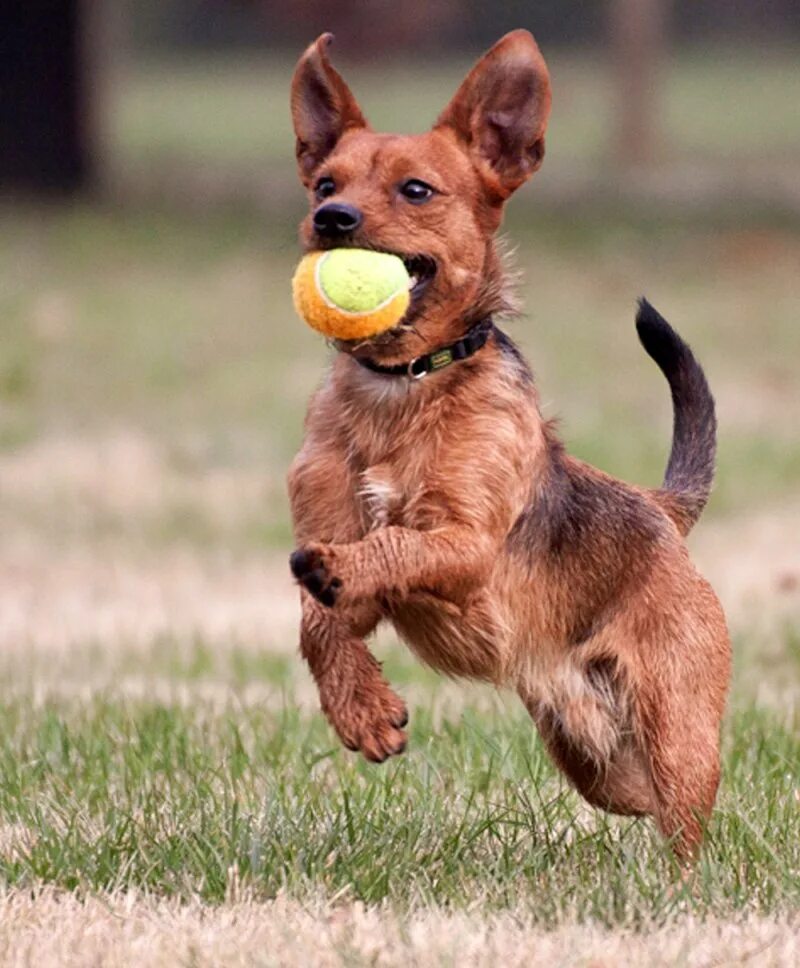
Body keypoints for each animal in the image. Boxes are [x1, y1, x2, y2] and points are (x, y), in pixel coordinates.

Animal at [288, 28, 732, 856]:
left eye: (416, 191)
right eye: (324, 181)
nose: (330, 218)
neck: (405, 388)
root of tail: (659, 509)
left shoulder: (465, 542)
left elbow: (394, 545)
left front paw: (347, 576)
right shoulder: (327, 535)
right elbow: (320, 624)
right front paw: (361, 708)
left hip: (675, 726)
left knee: (688, 822)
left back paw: (684, 878)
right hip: (589, 749)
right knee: (637, 796)